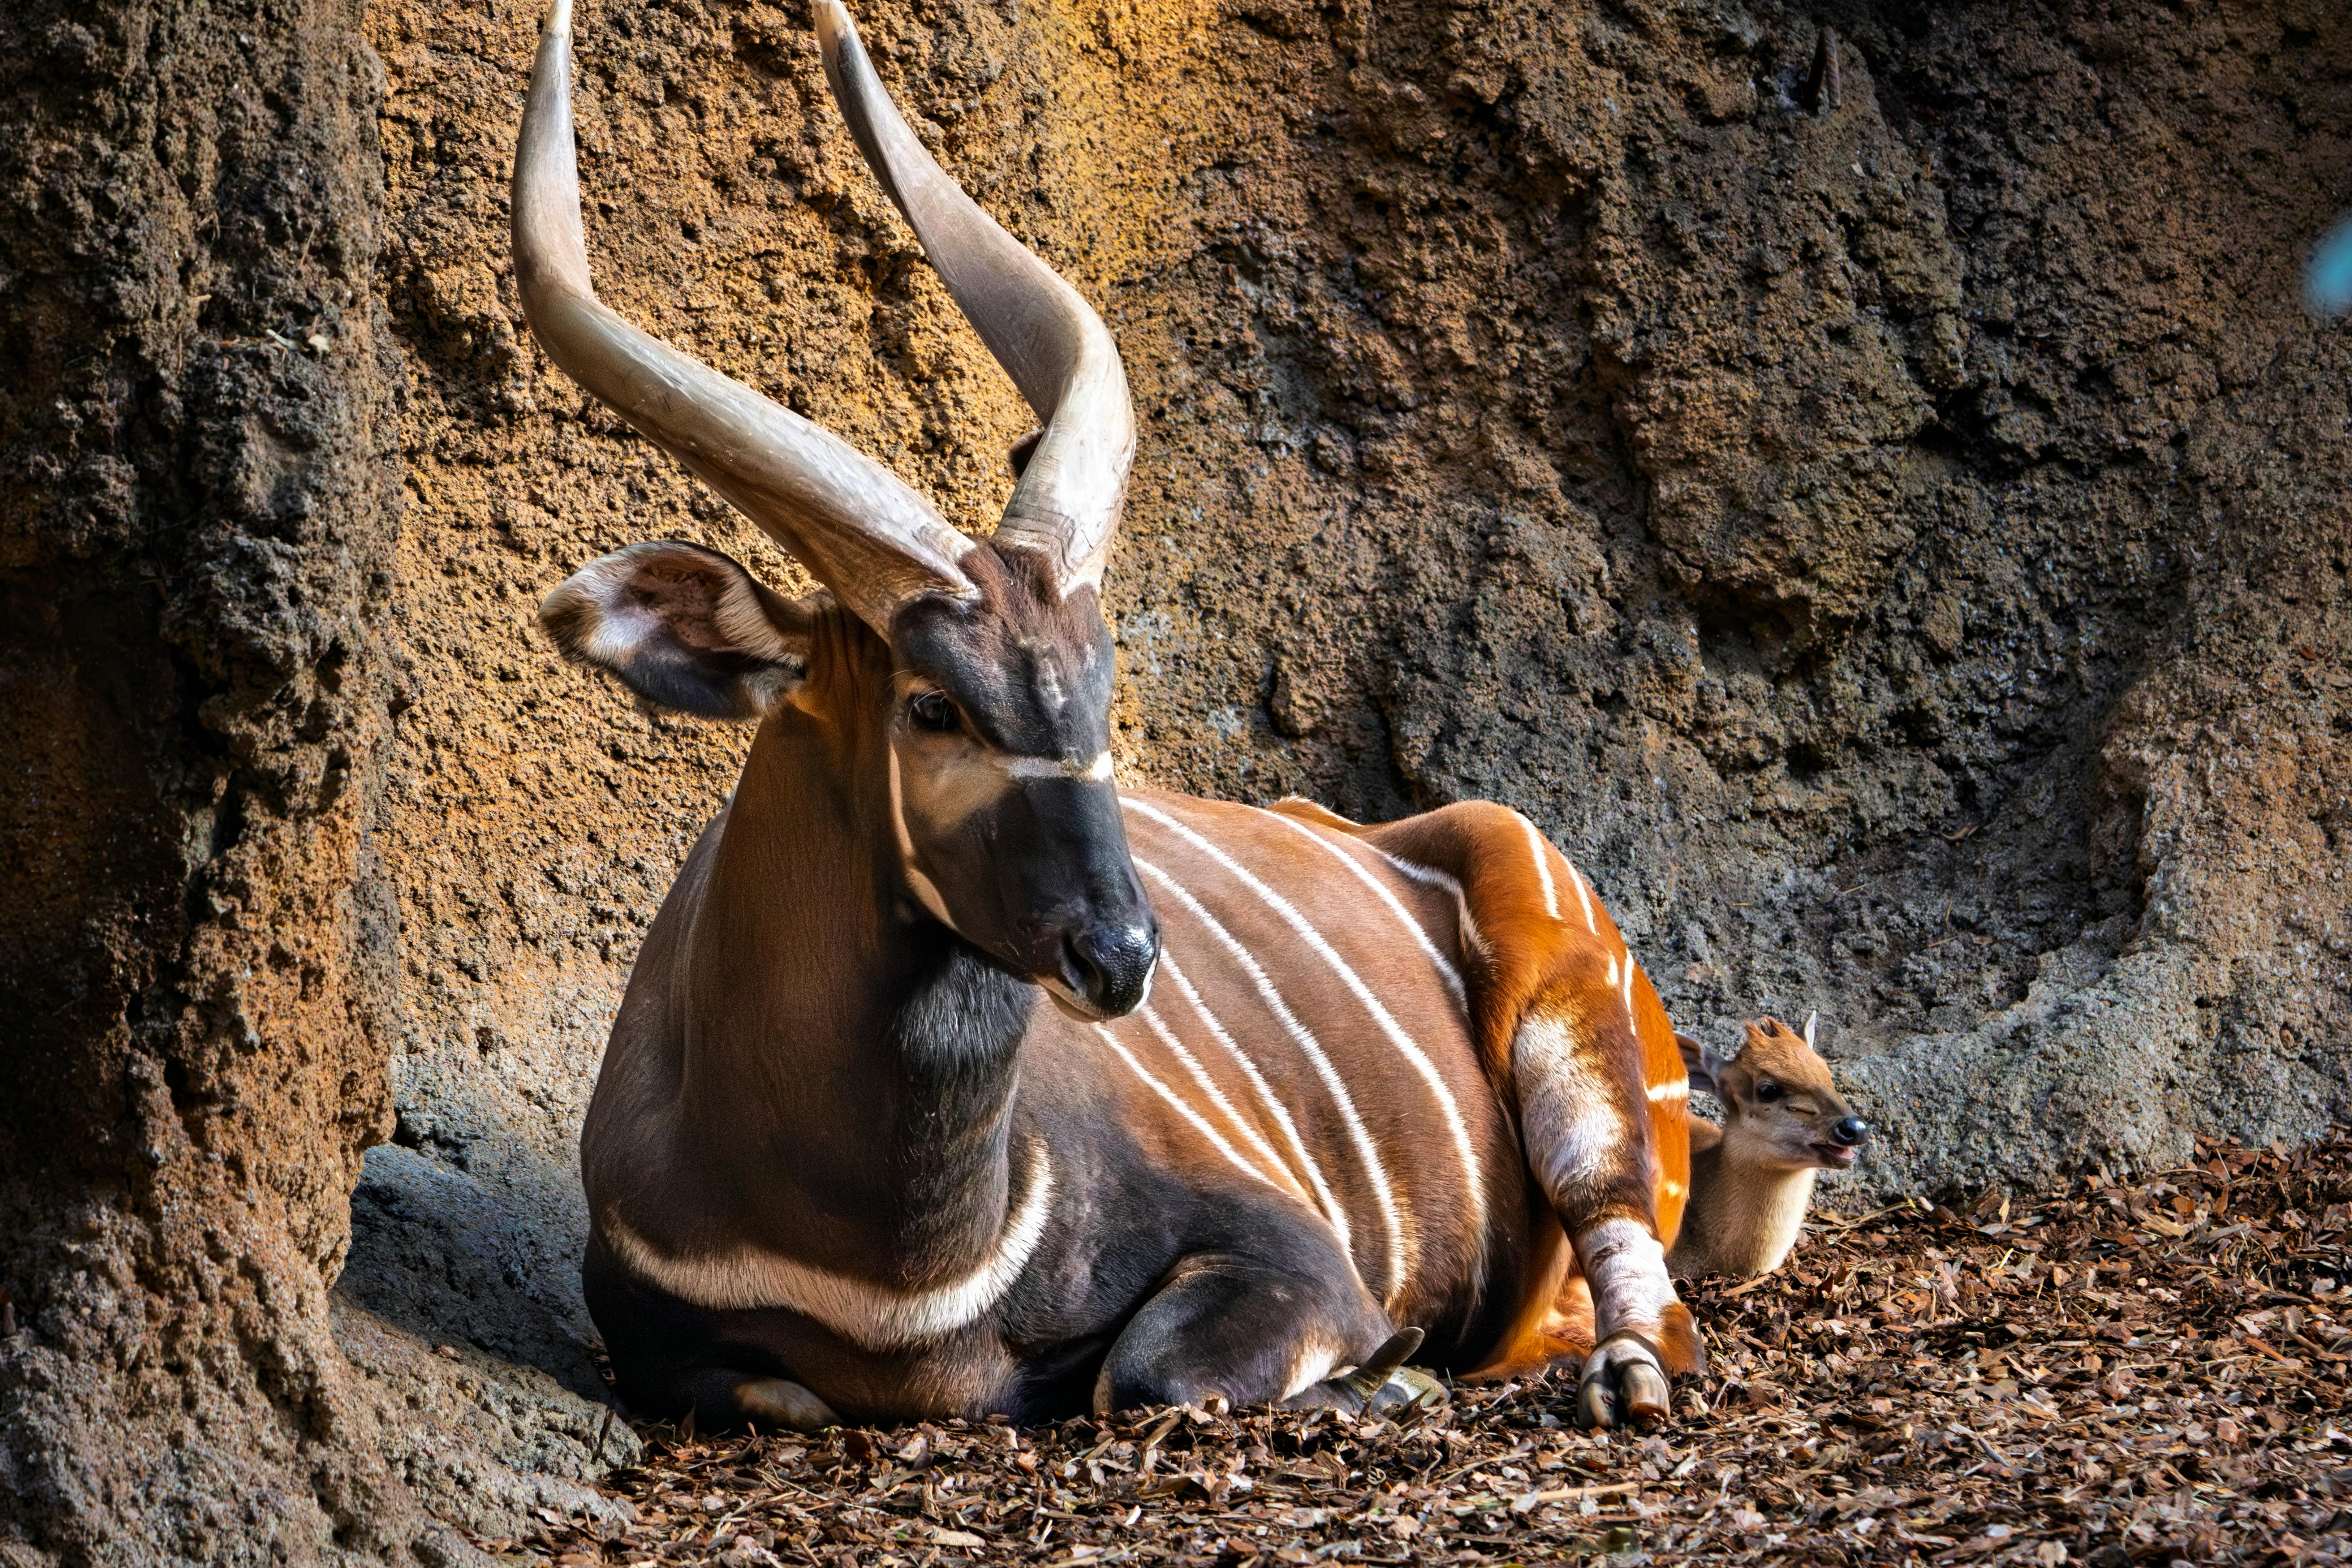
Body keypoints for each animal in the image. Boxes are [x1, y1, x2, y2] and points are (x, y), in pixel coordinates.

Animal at [514, 0, 1708, 1431]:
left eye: (1095, 684)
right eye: (932, 704)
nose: (1121, 956)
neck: (894, 1273)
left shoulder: (1290, 1252)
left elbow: (1151, 1371)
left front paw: (1381, 1377)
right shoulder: (661, 1345)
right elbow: (777, 1391)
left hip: (1584, 1075)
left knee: (1638, 1285)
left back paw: (1605, 1374)